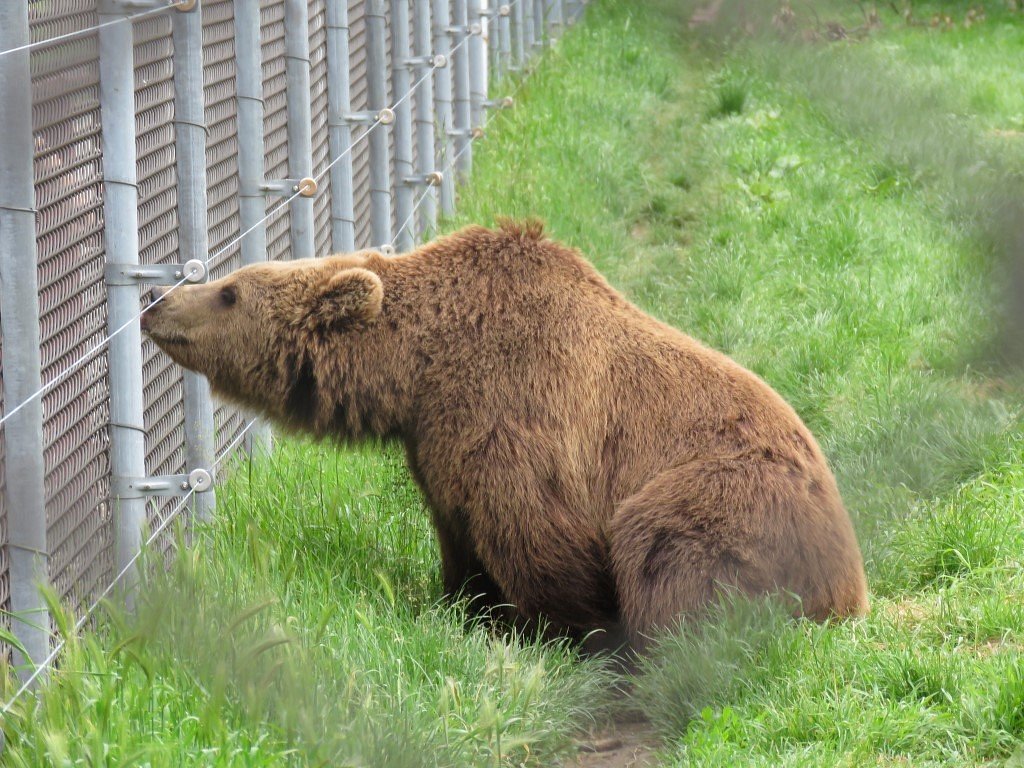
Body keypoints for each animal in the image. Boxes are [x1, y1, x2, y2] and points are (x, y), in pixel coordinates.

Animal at [142, 221, 864, 651]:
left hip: (732, 498)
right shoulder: (436, 440)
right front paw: (466, 607)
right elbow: (458, 533)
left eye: (230, 291)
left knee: (665, 545)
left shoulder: (513, 407)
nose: (155, 302)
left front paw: (562, 630)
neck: (418, 364)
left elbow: (536, 532)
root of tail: (852, 588)